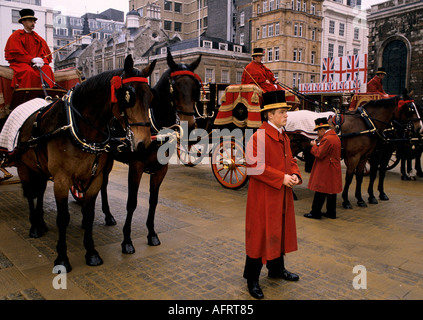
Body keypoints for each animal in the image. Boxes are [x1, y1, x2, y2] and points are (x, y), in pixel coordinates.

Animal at [15, 55, 157, 272]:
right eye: (128, 96)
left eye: (150, 96)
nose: (144, 143)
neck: (79, 127)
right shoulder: (62, 179)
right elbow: (63, 218)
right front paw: (62, 258)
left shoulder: (95, 177)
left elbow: (89, 214)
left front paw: (91, 252)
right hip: (24, 166)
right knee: (31, 193)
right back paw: (35, 225)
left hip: (40, 167)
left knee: (39, 191)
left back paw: (41, 221)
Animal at [99, 50, 202, 254]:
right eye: (174, 88)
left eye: (196, 88)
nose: (189, 128)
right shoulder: (136, 167)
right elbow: (131, 203)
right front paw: (127, 240)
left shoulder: (160, 169)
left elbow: (153, 201)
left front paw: (152, 233)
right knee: (102, 183)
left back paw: (107, 214)